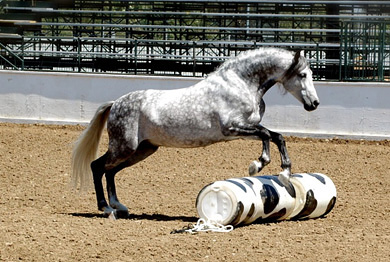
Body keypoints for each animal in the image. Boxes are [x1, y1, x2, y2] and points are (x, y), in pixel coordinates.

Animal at [71, 47, 318, 219]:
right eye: (303, 75)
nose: (314, 104)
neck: (241, 84)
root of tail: (116, 103)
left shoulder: (244, 129)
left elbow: (276, 136)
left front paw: (284, 172)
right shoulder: (232, 128)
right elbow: (268, 135)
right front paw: (258, 165)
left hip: (142, 150)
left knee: (110, 171)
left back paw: (119, 206)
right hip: (125, 146)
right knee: (98, 167)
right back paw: (106, 208)